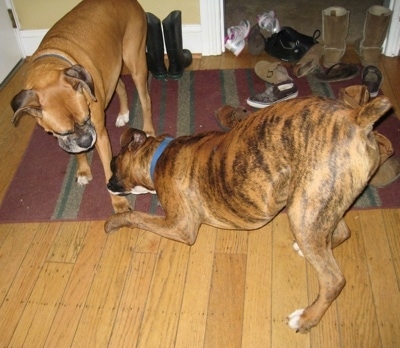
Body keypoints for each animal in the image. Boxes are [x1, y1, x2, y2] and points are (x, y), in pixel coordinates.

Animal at [10, 0, 152, 212]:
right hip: (110, 70)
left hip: (136, 63)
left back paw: (148, 129)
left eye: (87, 117)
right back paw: (123, 113)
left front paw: (118, 203)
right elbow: (76, 152)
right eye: (63, 132)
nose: (86, 141)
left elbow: (108, 171)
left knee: (145, 100)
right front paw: (84, 170)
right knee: (119, 85)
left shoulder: (100, 135)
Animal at [104, 94, 390, 332]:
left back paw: (306, 318)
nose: (107, 183)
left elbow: (136, 217)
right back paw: (305, 249)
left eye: (112, 163)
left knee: (333, 280)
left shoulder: (179, 226)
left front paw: (114, 221)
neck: (159, 156)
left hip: (303, 210)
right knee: (340, 232)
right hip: (318, 201)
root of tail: (355, 117)